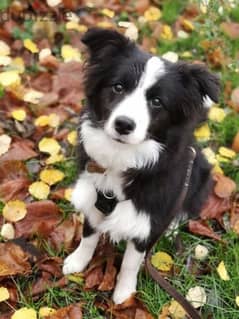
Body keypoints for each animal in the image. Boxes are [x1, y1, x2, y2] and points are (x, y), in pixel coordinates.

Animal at [62, 28, 219, 304]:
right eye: (118, 87)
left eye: (156, 101)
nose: (124, 124)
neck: (122, 156)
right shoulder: (94, 196)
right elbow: (88, 235)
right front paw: (77, 262)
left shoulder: (146, 222)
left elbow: (130, 262)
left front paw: (124, 294)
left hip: (200, 175)